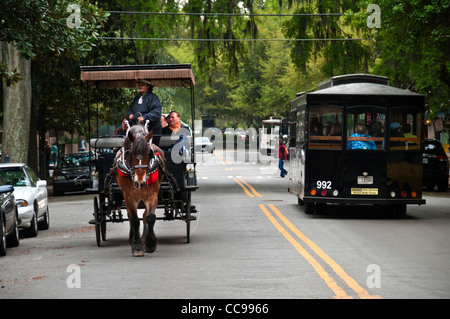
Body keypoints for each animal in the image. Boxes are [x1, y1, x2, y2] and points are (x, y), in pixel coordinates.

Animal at [116, 125, 165, 258]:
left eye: (149, 153)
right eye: (131, 154)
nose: (140, 182)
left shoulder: (152, 195)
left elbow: (150, 217)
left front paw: (150, 244)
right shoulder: (129, 197)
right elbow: (134, 220)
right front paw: (137, 247)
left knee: (144, 216)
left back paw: (144, 239)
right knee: (131, 217)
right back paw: (133, 240)